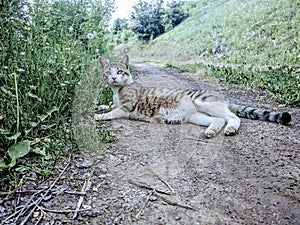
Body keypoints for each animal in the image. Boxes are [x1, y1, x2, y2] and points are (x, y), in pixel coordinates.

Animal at [95, 55, 292, 138]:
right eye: (108, 72)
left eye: (120, 71)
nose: (113, 78)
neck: (116, 90)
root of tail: (222, 97)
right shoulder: (115, 103)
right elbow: (107, 106)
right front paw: (99, 106)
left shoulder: (125, 108)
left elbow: (110, 113)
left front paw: (97, 115)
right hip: (196, 116)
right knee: (218, 120)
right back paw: (211, 131)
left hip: (203, 102)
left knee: (233, 117)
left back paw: (231, 129)